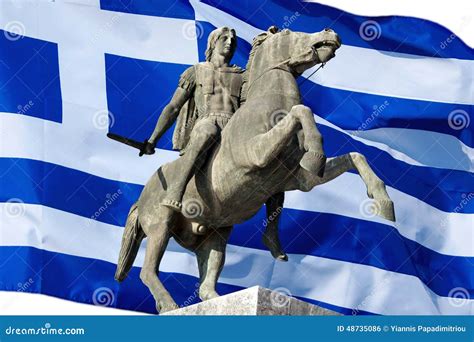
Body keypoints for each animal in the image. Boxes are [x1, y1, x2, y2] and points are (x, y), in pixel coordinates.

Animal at [115, 26, 396, 312]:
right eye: (288, 32)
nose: (330, 32)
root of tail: (141, 196)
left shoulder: (299, 180)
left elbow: (354, 156)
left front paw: (383, 200)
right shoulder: (256, 154)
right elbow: (301, 110)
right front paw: (316, 153)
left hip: (214, 236)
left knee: (205, 285)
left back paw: (220, 298)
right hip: (160, 225)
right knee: (148, 271)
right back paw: (170, 304)